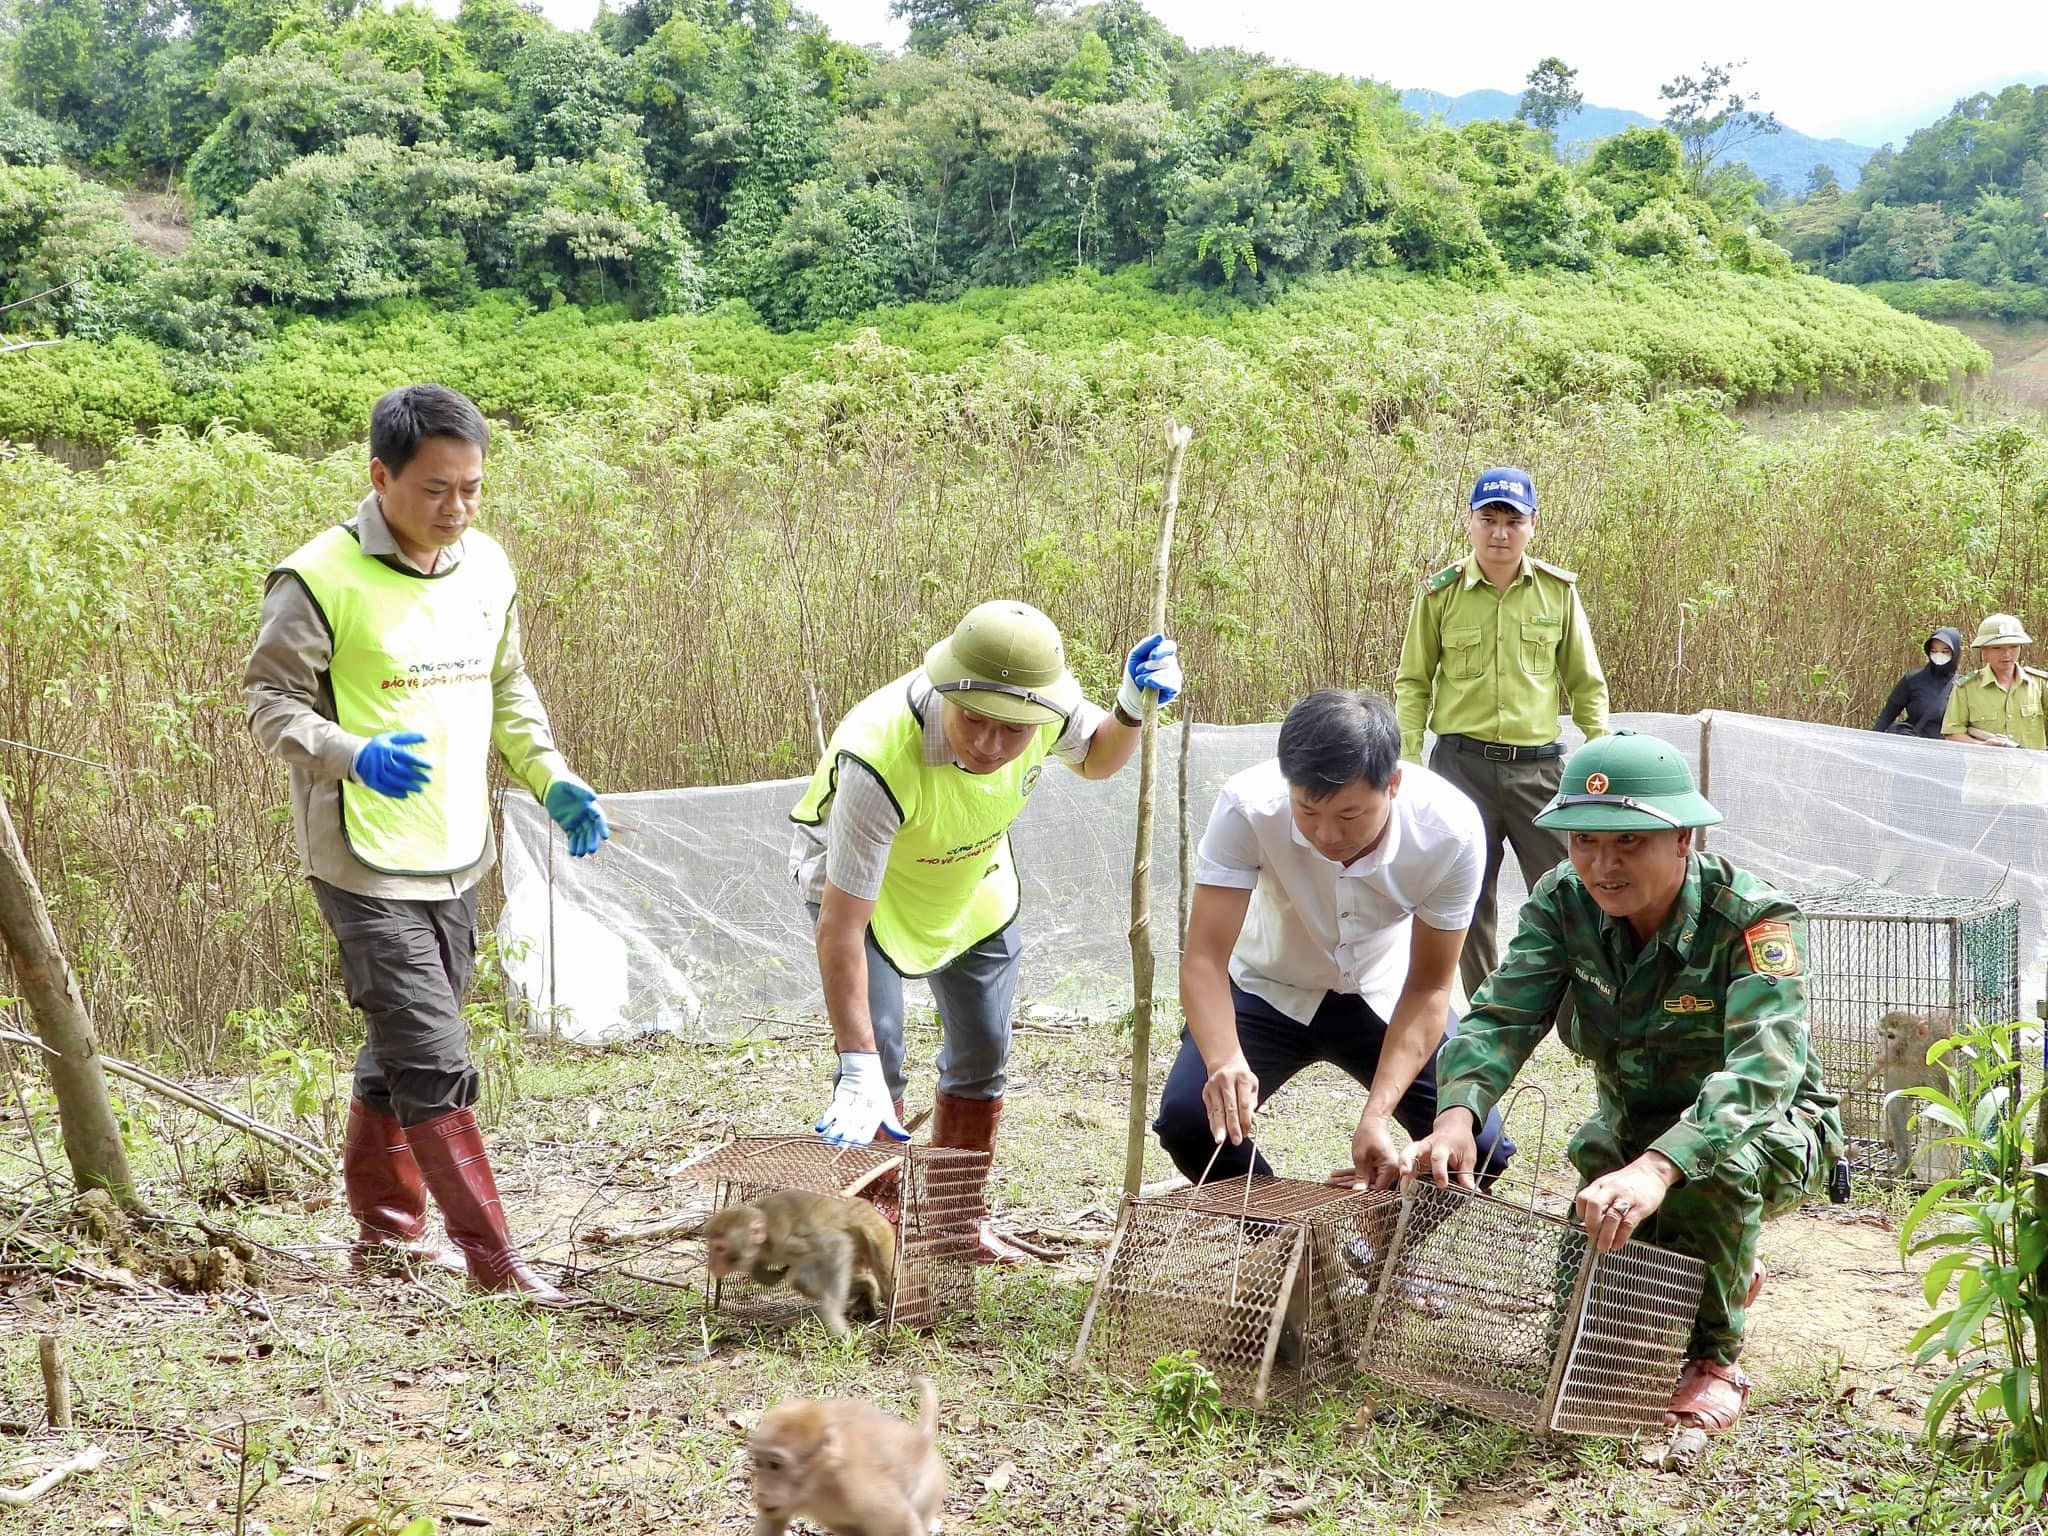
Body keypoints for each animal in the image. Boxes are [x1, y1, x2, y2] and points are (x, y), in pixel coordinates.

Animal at [704, 1187, 897, 1335]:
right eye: (711, 1245)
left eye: (720, 1248)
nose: (711, 1263)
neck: (763, 1242)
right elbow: (761, 1270)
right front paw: (773, 1275)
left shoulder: (783, 1242)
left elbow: (837, 1245)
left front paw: (832, 1318)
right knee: (803, 1280)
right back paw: (867, 1287)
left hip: (876, 1232)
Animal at [749, 1384, 946, 1536]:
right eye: (759, 1463)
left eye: (775, 1465)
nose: (761, 1492)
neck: (818, 1484)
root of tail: (921, 1439)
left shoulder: (861, 1488)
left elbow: (902, 1524)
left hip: (931, 1485)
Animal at [1785, 876, 2023, 1187]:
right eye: (1879, 1033)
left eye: (1891, 1036)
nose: (1878, 1050)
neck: (1913, 1055)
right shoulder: (1896, 1068)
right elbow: (1897, 1106)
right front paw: (1903, 1164)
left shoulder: (1940, 1062)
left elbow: (1944, 1104)